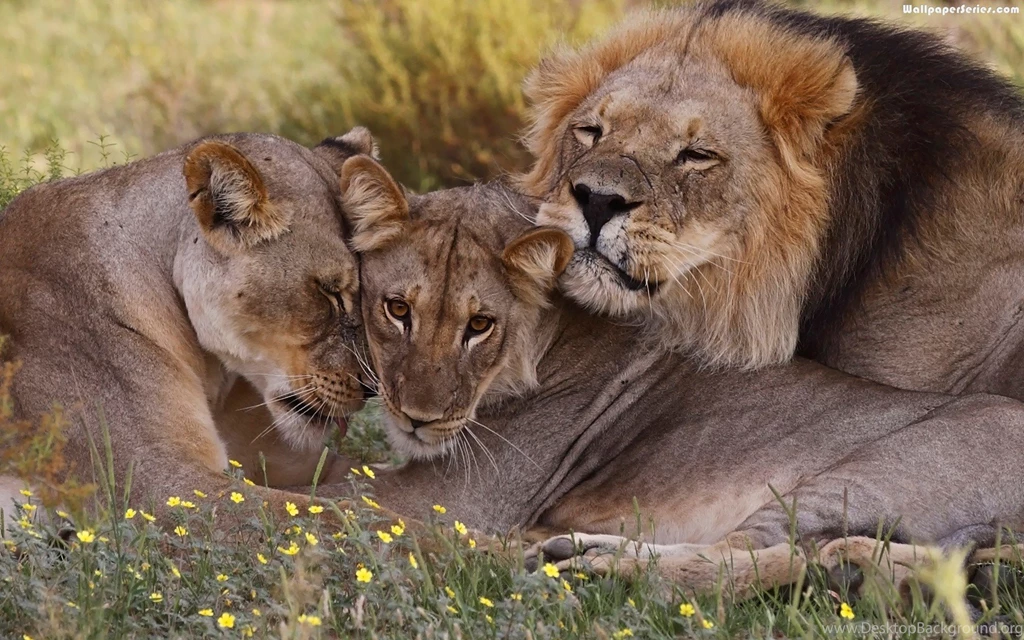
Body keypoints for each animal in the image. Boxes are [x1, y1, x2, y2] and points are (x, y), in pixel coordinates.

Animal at [0, 129, 376, 525]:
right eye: (330, 292)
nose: (371, 389)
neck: (212, 373)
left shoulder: (298, 461)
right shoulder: (160, 487)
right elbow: (339, 515)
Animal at [328, 161, 1024, 595]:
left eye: (480, 325)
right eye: (397, 309)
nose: (416, 417)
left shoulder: (452, 497)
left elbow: (319, 502)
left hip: (865, 475)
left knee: (767, 554)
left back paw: (579, 561)